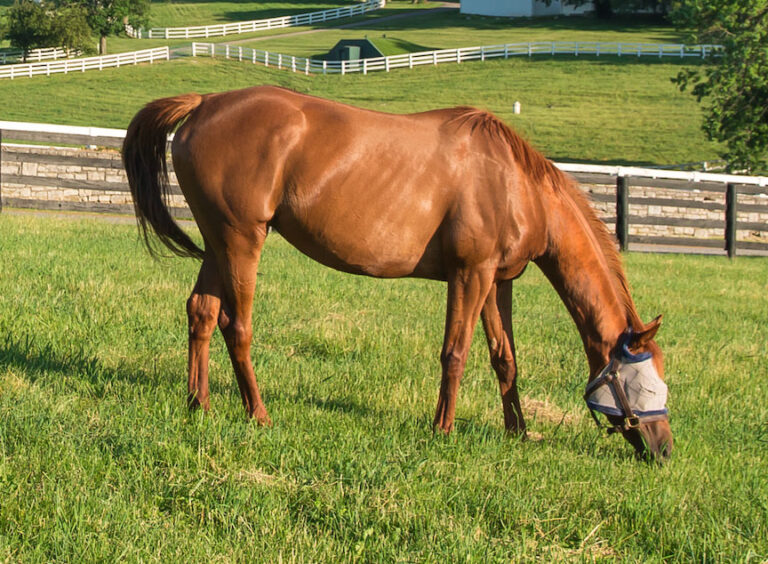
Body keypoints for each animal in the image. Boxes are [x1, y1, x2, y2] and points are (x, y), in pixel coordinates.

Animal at [122, 85, 673, 460]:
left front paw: (516, 431)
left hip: (218, 243)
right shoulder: (470, 275)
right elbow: (456, 353)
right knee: (237, 326)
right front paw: (442, 430)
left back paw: (199, 405)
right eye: (647, 383)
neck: (516, 185)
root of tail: (204, 103)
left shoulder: (498, 281)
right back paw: (258, 414)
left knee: (201, 313)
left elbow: (504, 358)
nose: (664, 449)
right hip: (241, 241)